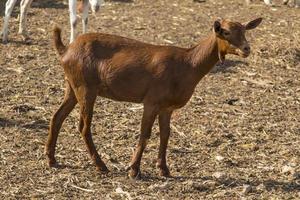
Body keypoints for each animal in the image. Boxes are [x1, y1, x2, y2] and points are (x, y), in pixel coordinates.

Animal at [46, 17, 262, 178]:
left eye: (245, 30)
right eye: (225, 32)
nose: (246, 49)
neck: (187, 65)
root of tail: (65, 50)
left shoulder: (167, 107)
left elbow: (165, 134)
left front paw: (164, 169)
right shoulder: (152, 101)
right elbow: (145, 134)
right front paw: (134, 170)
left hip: (72, 86)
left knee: (57, 117)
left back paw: (51, 159)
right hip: (85, 88)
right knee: (83, 126)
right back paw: (101, 165)